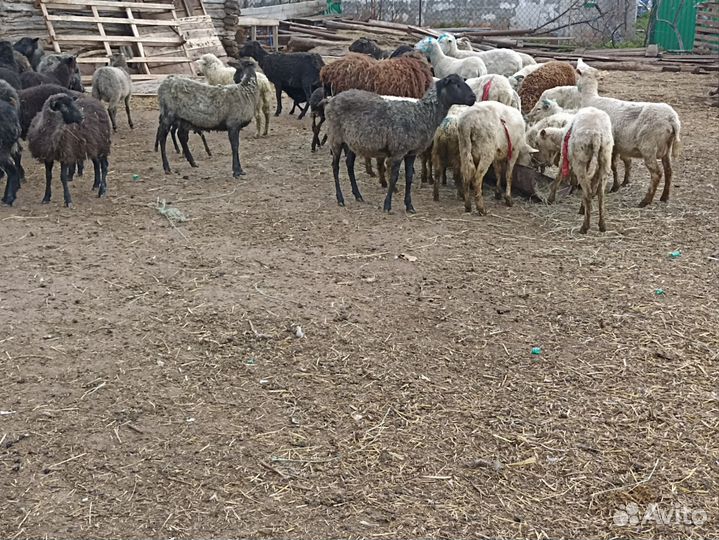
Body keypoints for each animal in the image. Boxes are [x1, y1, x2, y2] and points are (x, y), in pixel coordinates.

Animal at [325, 74, 476, 212]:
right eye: (456, 84)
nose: (473, 98)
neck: (422, 115)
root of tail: (333, 99)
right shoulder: (399, 150)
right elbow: (394, 177)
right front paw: (387, 205)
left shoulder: (411, 153)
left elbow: (409, 178)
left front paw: (409, 206)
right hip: (336, 137)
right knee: (335, 166)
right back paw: (340, 199)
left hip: (351, 142)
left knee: (349, 164)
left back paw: (358, 195)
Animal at [576, 58, 682, 205]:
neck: (591, 99)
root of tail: (672, 119)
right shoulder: (616, 146)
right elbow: (615, 166)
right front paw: (617, 185)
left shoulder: (609, 145)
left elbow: (612, 166)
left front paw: (613, 187)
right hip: (667, 148)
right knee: (669, 171)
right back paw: (664, 197)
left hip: (649, 147)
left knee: (657, 173)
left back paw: (646, 201)